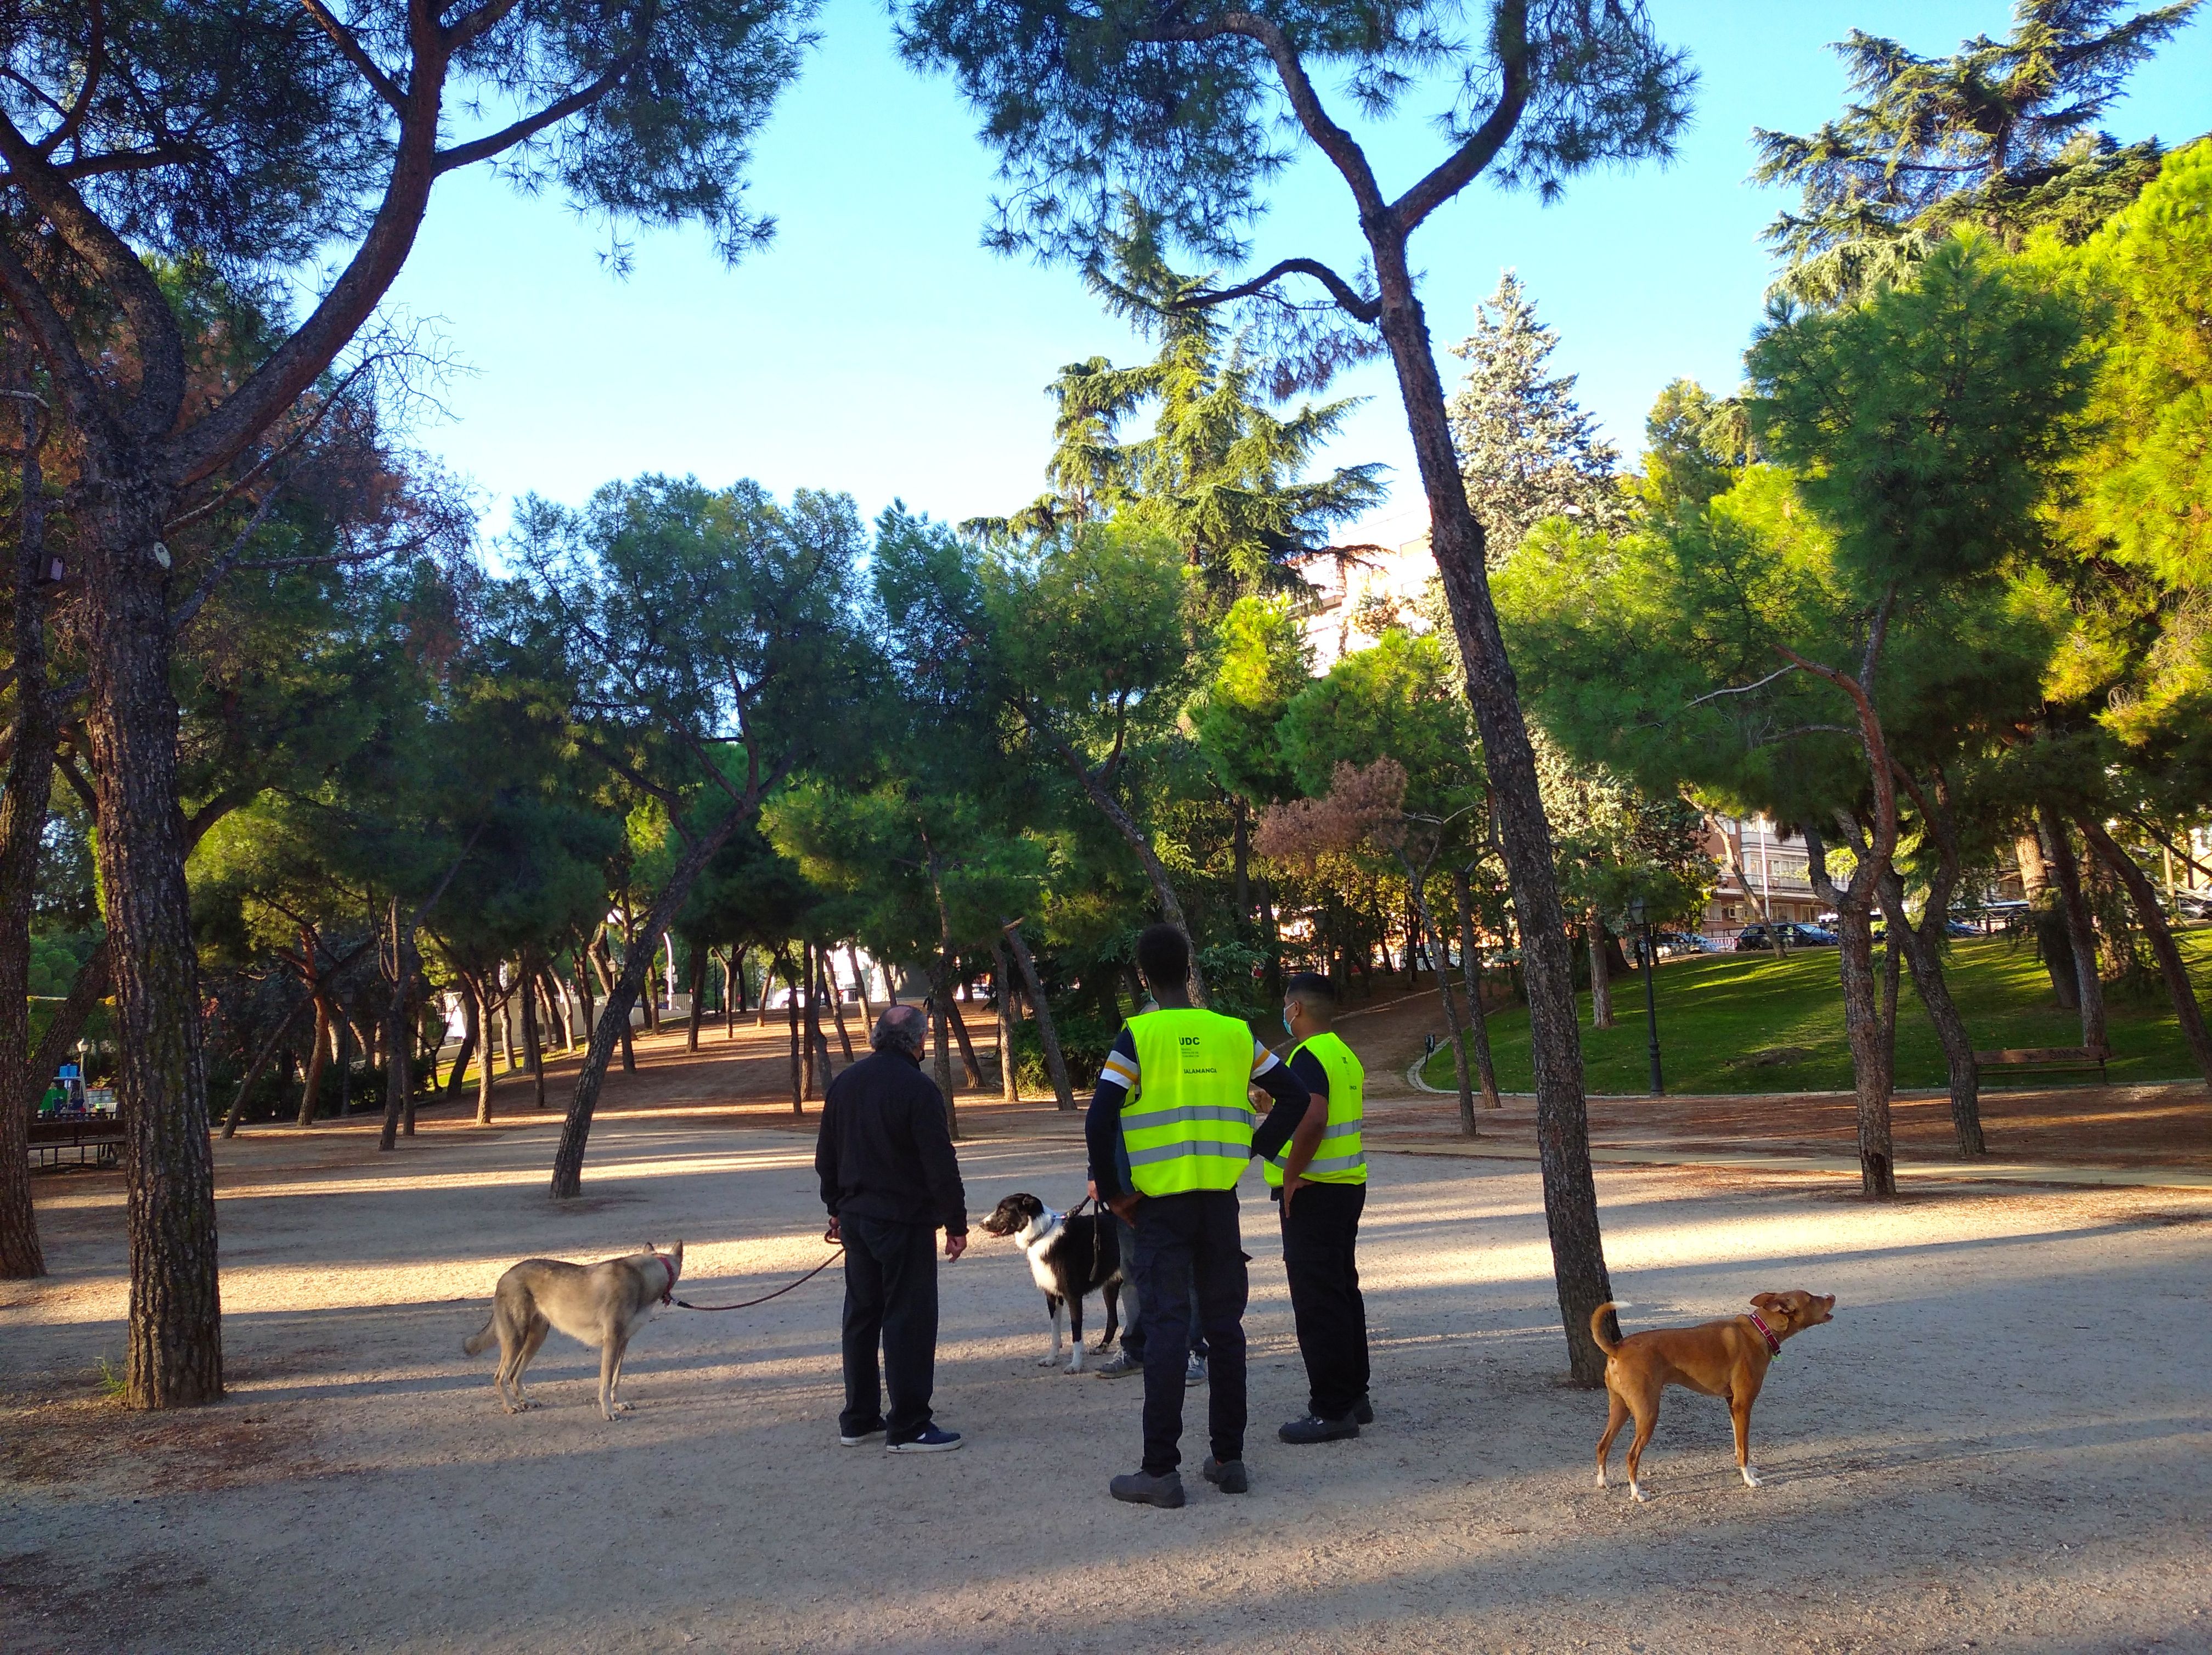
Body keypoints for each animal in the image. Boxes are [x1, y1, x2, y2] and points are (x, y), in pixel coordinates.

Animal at [462, 1239, 676, 1425]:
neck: (641, 1277)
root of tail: (506, 1275)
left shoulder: (623, 1343)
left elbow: (615, 1380)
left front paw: (619, 1403)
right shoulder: (611, 1343)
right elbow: (605, 1384)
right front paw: (608, 1411)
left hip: (536, 1340)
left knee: (514, 1375)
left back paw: (526, 1402)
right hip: (516, 1340)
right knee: (500, 1377)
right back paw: (509, 1407)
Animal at [1593, 1283, 1831, 1504]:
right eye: (1811, 1298)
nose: (1831, 1295)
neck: (1759, 1331)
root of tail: (1617, 1348)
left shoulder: (1732, 1404)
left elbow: (1738, 1444)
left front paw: (1747, 1469)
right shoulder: (1743, 1405)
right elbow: (1744, 1448)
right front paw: (1749, 1480)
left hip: (1621, 1409)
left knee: (1602, 1446)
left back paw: (1604, 1481)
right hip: (1647, 1413)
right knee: (1631, 1456)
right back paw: (1637, 1493)